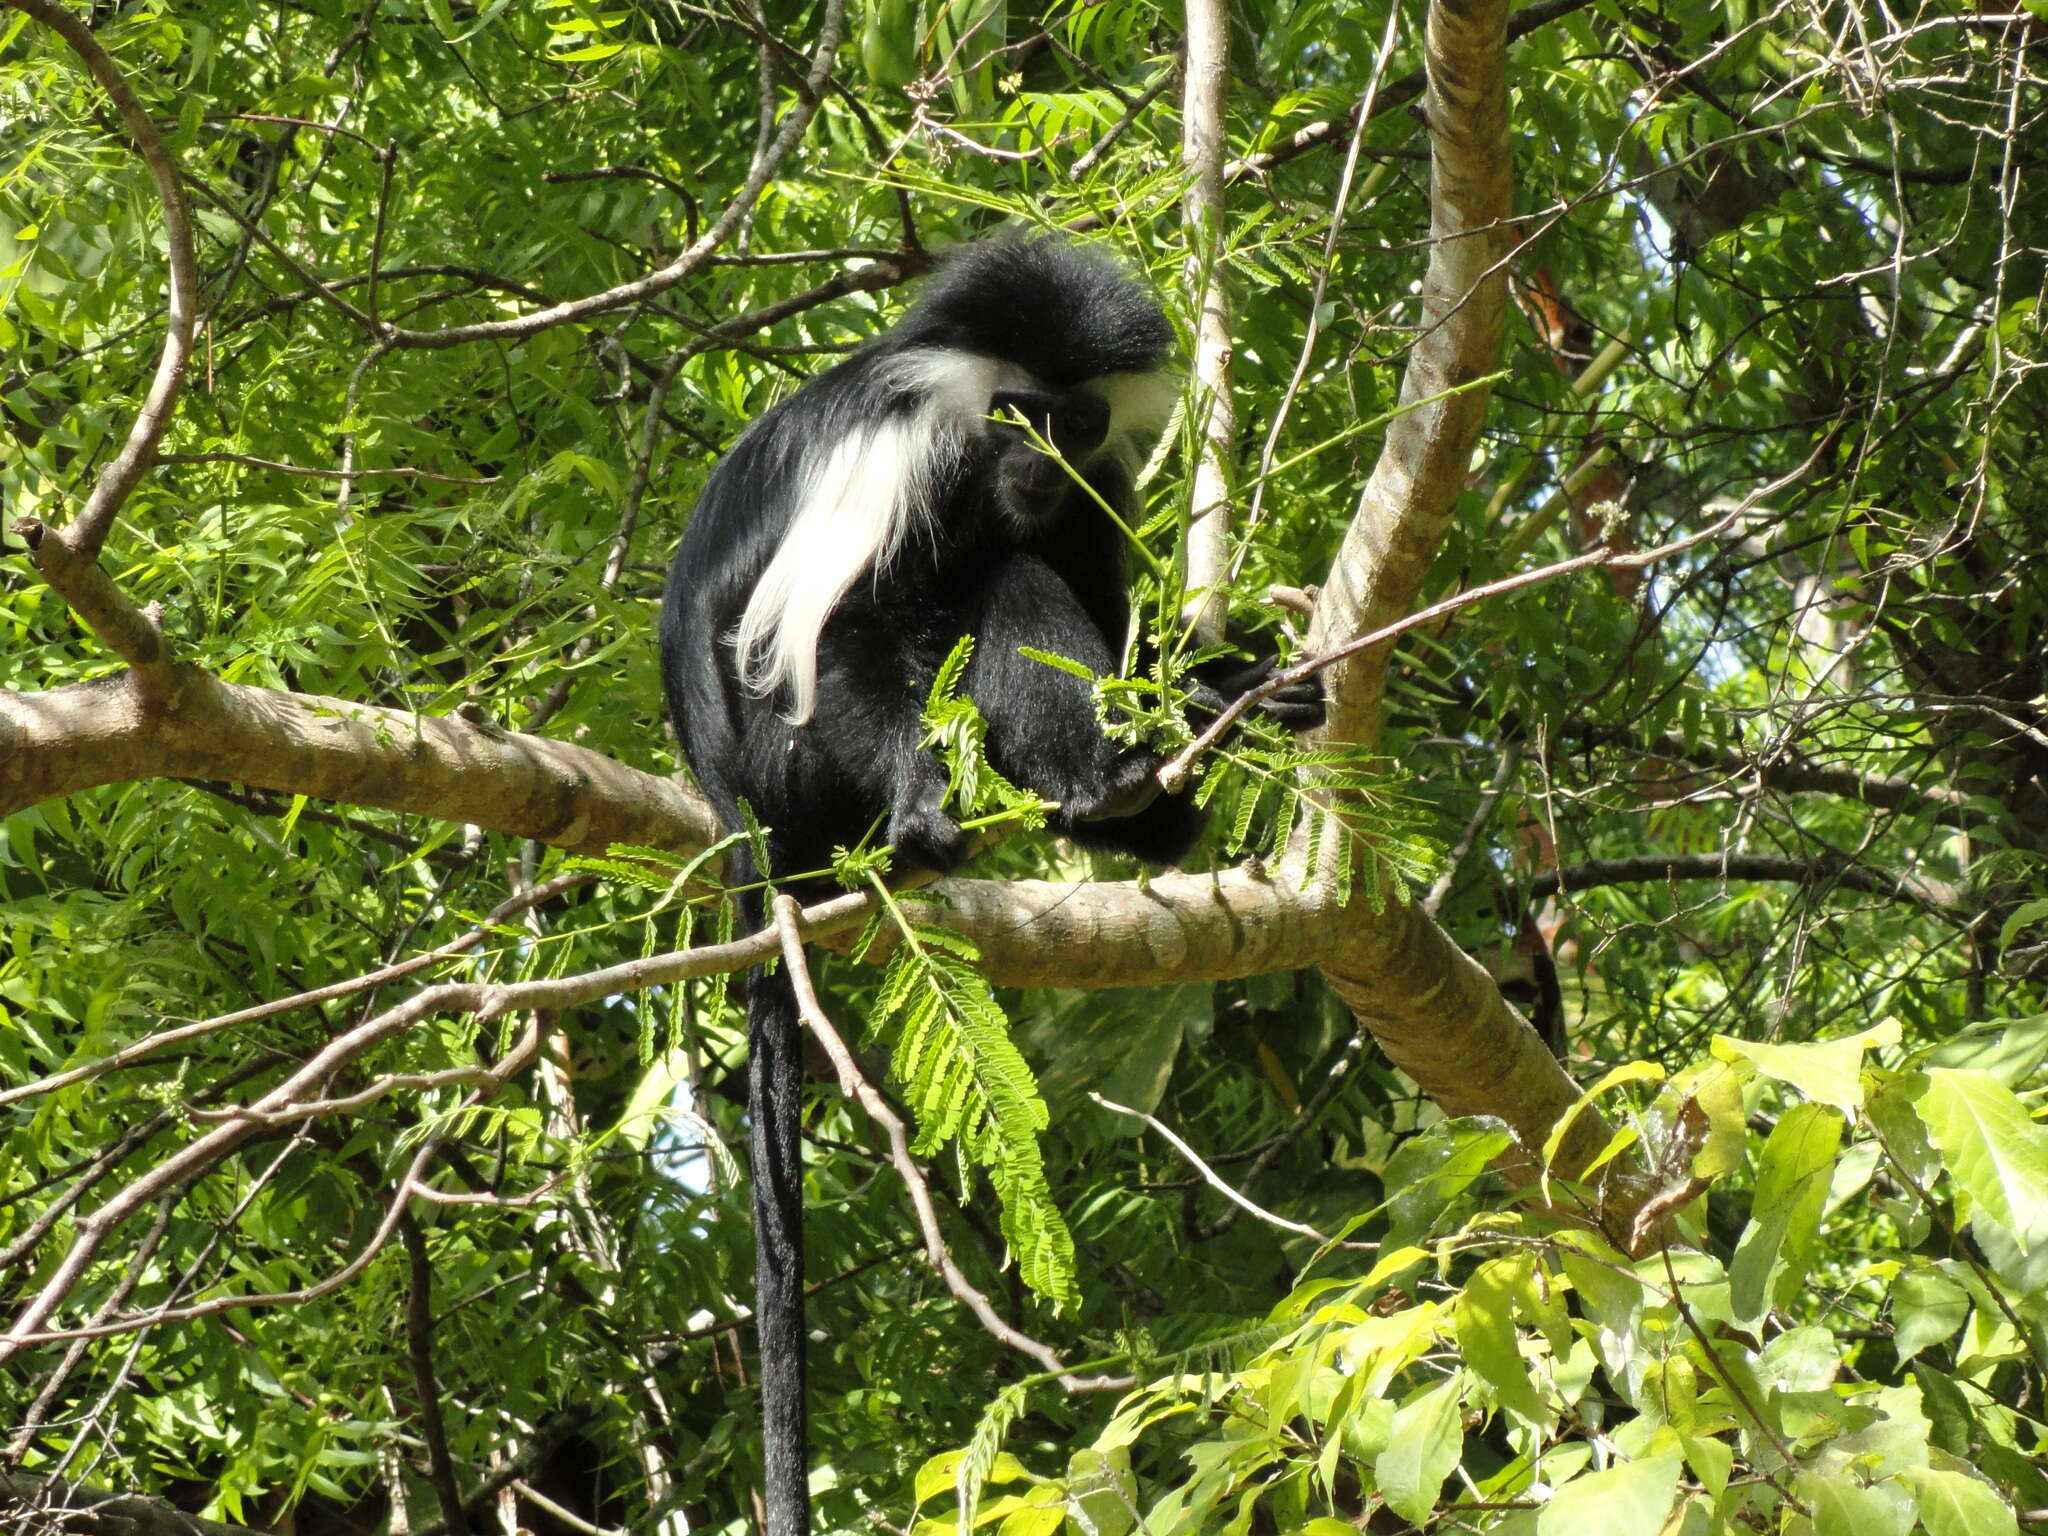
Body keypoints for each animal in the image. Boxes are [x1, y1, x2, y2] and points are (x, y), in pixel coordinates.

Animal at [663, 234, 1318, 1531]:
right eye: (1016, 415)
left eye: (1074, 420)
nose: (1038, 463)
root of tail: (735, 818)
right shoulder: (896, 452)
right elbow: (838, 633)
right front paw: (925, 801)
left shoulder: (1098, 479)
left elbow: (1111, 603)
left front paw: (1237, 680)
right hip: (789, 764)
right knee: (980, 594)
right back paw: (1091, 791)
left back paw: (1147, 798)